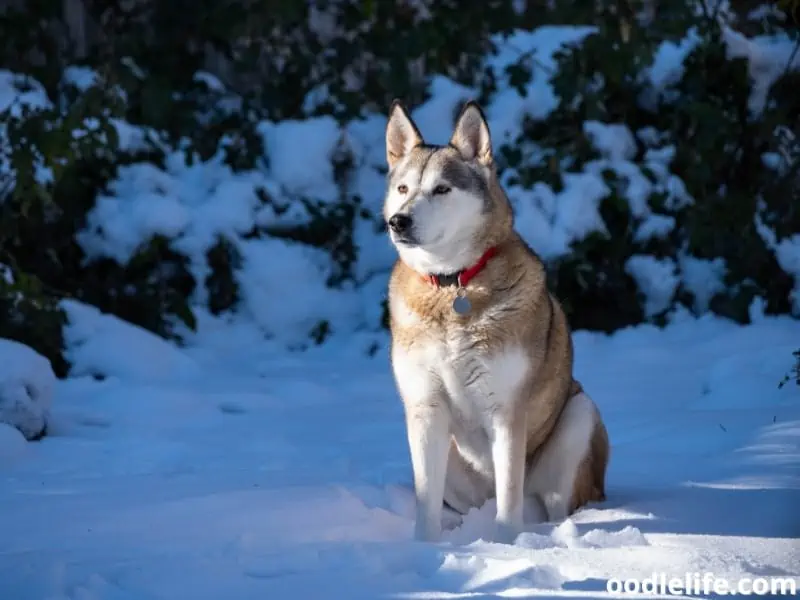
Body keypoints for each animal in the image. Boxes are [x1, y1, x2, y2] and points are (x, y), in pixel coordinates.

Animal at [384, 99, 608, 544]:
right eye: (403, 189)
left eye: (442, 189)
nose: (398, 221)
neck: (452, 286)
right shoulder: (424, 408)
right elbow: (425, 499)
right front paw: (425, 548)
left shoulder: (506, 410)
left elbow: (510, 495)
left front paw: (505, 547)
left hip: (579, 418)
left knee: (550, 503)